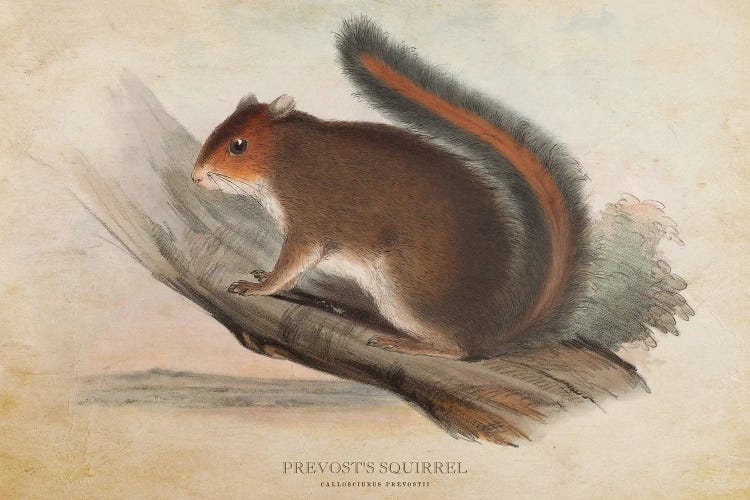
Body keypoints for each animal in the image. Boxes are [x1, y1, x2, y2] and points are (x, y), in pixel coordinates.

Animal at [191, 17, 589, 360]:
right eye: (218, 129)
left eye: (238, 145)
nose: (195, 176)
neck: (286, 155)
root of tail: (492, 330)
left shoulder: (309, 225)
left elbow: (290, 265)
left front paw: (259, 286)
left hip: (405, 289)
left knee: (459, 349)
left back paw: (407, 343)